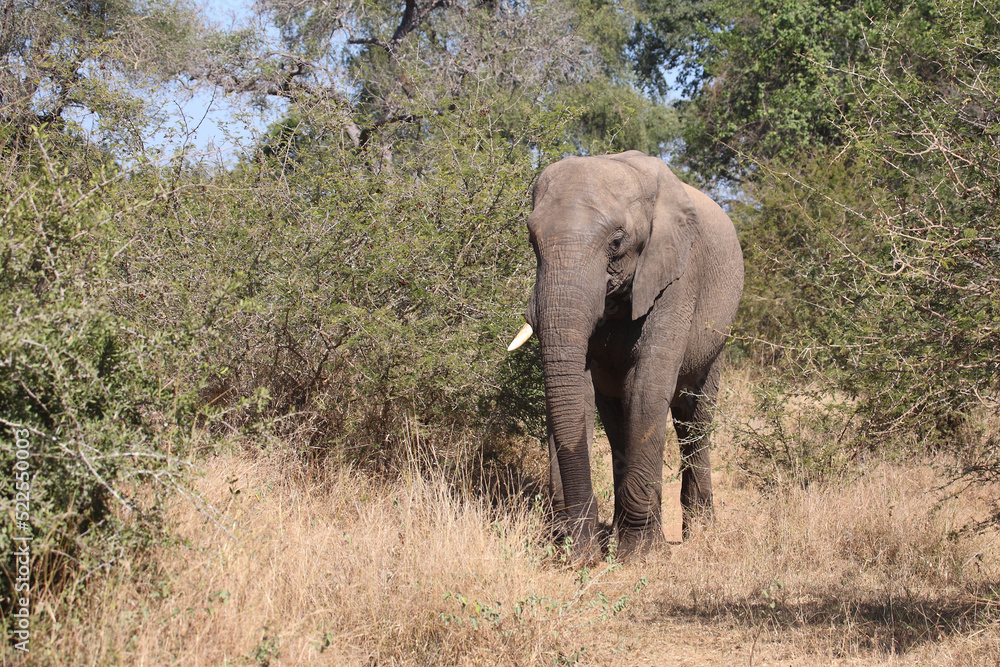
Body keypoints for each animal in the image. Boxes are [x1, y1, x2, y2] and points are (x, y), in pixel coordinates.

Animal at [507, 150, 744, 562]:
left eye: (616, 242)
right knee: (617, 416)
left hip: (719, 335)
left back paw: (700, 534)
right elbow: (580, 394)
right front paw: (581, 548)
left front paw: (642, 556)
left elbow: (646, 390)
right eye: (532, 240)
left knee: (693, 418)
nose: (583, 554)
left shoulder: (678, 277)